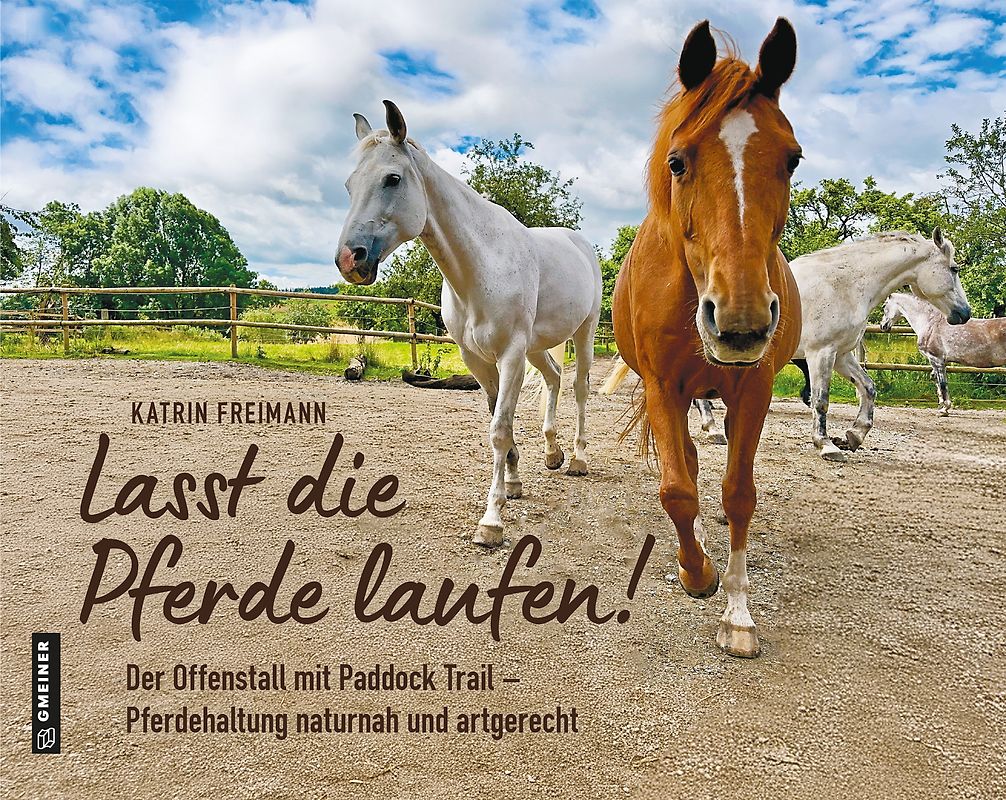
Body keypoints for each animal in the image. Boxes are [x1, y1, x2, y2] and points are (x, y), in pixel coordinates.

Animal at [336, 101, 602, 547]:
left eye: (392, 179)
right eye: (349, 185)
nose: (349, 259)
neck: (481, 264)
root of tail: (580, 243)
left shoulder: (510, 355)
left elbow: (499, 429)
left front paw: (491, 521)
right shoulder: (477, 360)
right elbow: (500, 420)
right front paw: (513, 484)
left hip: (584, 332)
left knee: (580, 388)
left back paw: (578, 459)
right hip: (537, 348)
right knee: (554, 378)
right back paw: (552, 453)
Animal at [607, 229, 972, 461]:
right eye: (954, 269)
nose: (964, 314)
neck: (847, 283)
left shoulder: (842, 355)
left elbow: (868, 389)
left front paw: (854, 436)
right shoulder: (820, 354)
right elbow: (821, 401)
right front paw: (826, 445)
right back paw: (712, 430)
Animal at [612, 18, 802, 657]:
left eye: (792, 160)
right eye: (677, 162)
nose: (741, 322)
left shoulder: (754, 389)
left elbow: (739, 492)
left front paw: (739, 616)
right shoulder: (662, 387)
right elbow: (677, 490)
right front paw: (696, 571)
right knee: (690, 467)